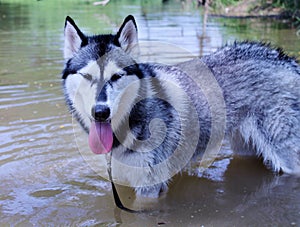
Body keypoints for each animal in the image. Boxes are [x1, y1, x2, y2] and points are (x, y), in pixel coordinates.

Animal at [62, 15, 300, 198]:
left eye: (116, 76)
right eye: (87, 76)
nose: (100, 112)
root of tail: (285, 59)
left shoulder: (150, 188)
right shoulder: (123, 181)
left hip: (288, 159)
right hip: (245, 148)